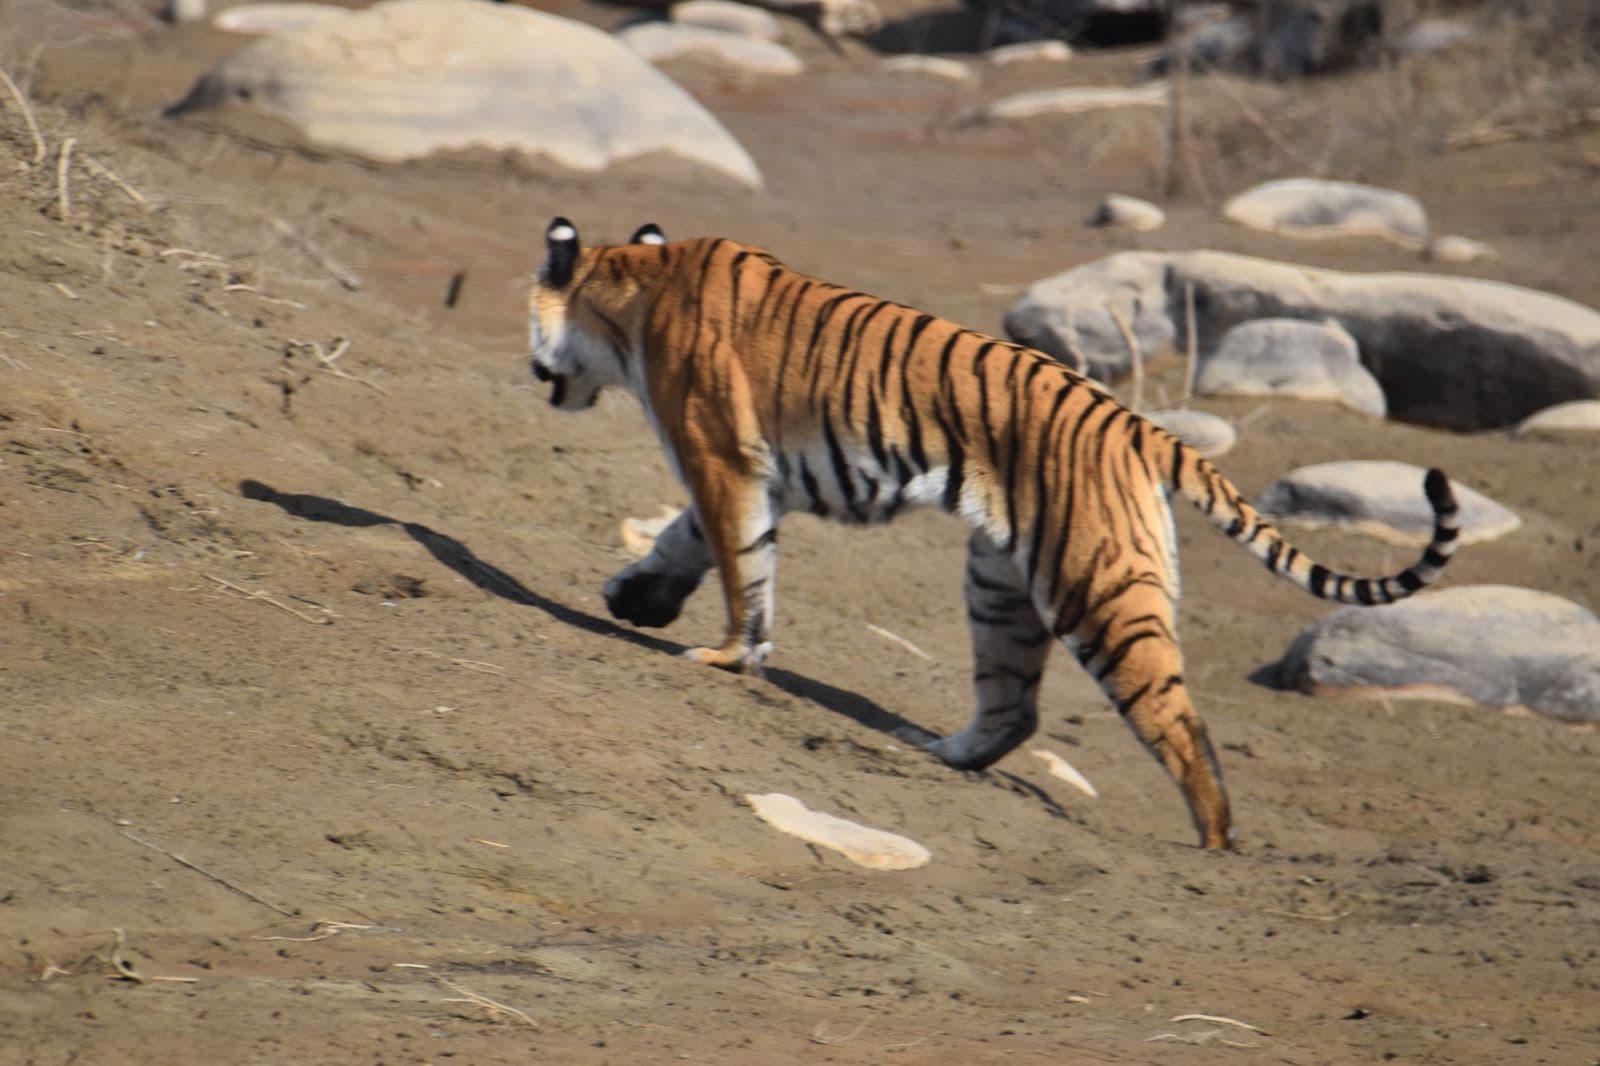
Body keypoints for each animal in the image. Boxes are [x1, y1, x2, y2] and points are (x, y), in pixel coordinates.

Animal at [526, 216, 1461, 850]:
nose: (530, 371)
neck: (633, 282)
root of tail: (1140, 426)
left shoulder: (722, 457)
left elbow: (736, 565)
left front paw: (726, 656)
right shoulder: (749, 475)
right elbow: (690, 542)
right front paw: (637, 598)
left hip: (1100, 596)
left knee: (1182, 727)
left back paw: (1213, 850)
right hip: (1001, 584)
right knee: (1014, 709)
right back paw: (937, 750)